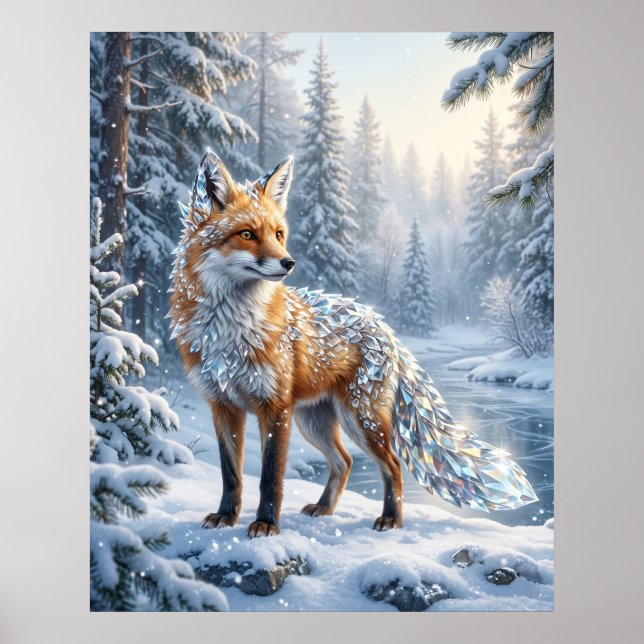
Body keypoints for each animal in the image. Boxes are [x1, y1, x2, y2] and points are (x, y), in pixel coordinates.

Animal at [169, 151, 537, 538]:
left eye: (279, 234)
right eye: (247, 234)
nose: (289, 262)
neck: (229, 333)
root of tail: (381, 323)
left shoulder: (275, 408)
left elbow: (270, 477)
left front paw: (267, 523)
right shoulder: (223, 405)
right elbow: (231, 474)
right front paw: (226, 516)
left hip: (360, 420)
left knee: (392, 465)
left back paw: (392, 519)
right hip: (315, 422)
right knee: (344, 462)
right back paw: (325, 509)